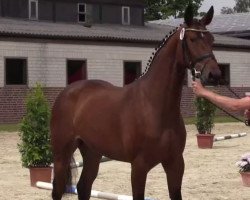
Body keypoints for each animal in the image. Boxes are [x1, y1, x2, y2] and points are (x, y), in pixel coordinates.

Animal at [50, 4, 221, 200]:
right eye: (192, 39)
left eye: (212, 39)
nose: (214, 75)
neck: (155, 106)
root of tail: (66, 92)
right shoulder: (139, 166)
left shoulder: (175, 163)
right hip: (62, 154)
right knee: (57, 189)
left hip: (93, 153)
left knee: (84, 186)